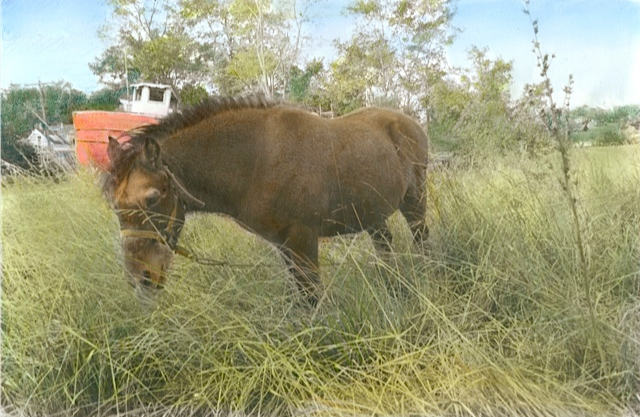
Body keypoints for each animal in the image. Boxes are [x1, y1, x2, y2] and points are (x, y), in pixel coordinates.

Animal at [102, 96, 428, 306]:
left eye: (152, 198)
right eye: (114, 205)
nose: (141, 279)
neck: (257, 158)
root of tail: (410, 122)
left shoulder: (303, 240)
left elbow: (311, 297)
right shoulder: (285, 245)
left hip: (414, 201)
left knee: (421, 238)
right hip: (373, 214)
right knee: (385, 246)